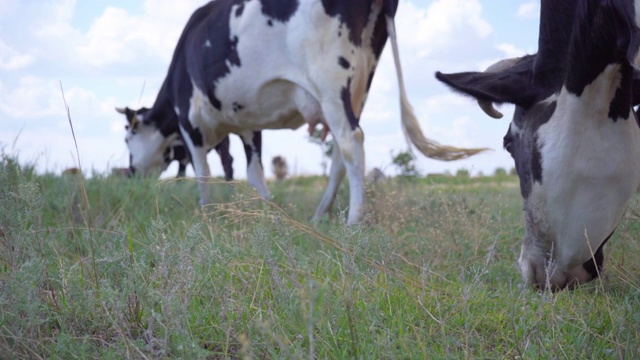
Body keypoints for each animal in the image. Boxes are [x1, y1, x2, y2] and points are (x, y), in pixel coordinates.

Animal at [122, 0, 484, 225]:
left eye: (128, 139)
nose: (131, 172)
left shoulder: (190, 121)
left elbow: (202, 172)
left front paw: (207, 212)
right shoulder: (248, 123)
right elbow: (254, 172)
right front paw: (269, 211)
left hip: (330, 80)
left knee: (351, 142)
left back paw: (354, 219)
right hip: (359, 84)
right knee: (340, 155)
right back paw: (321, 214)